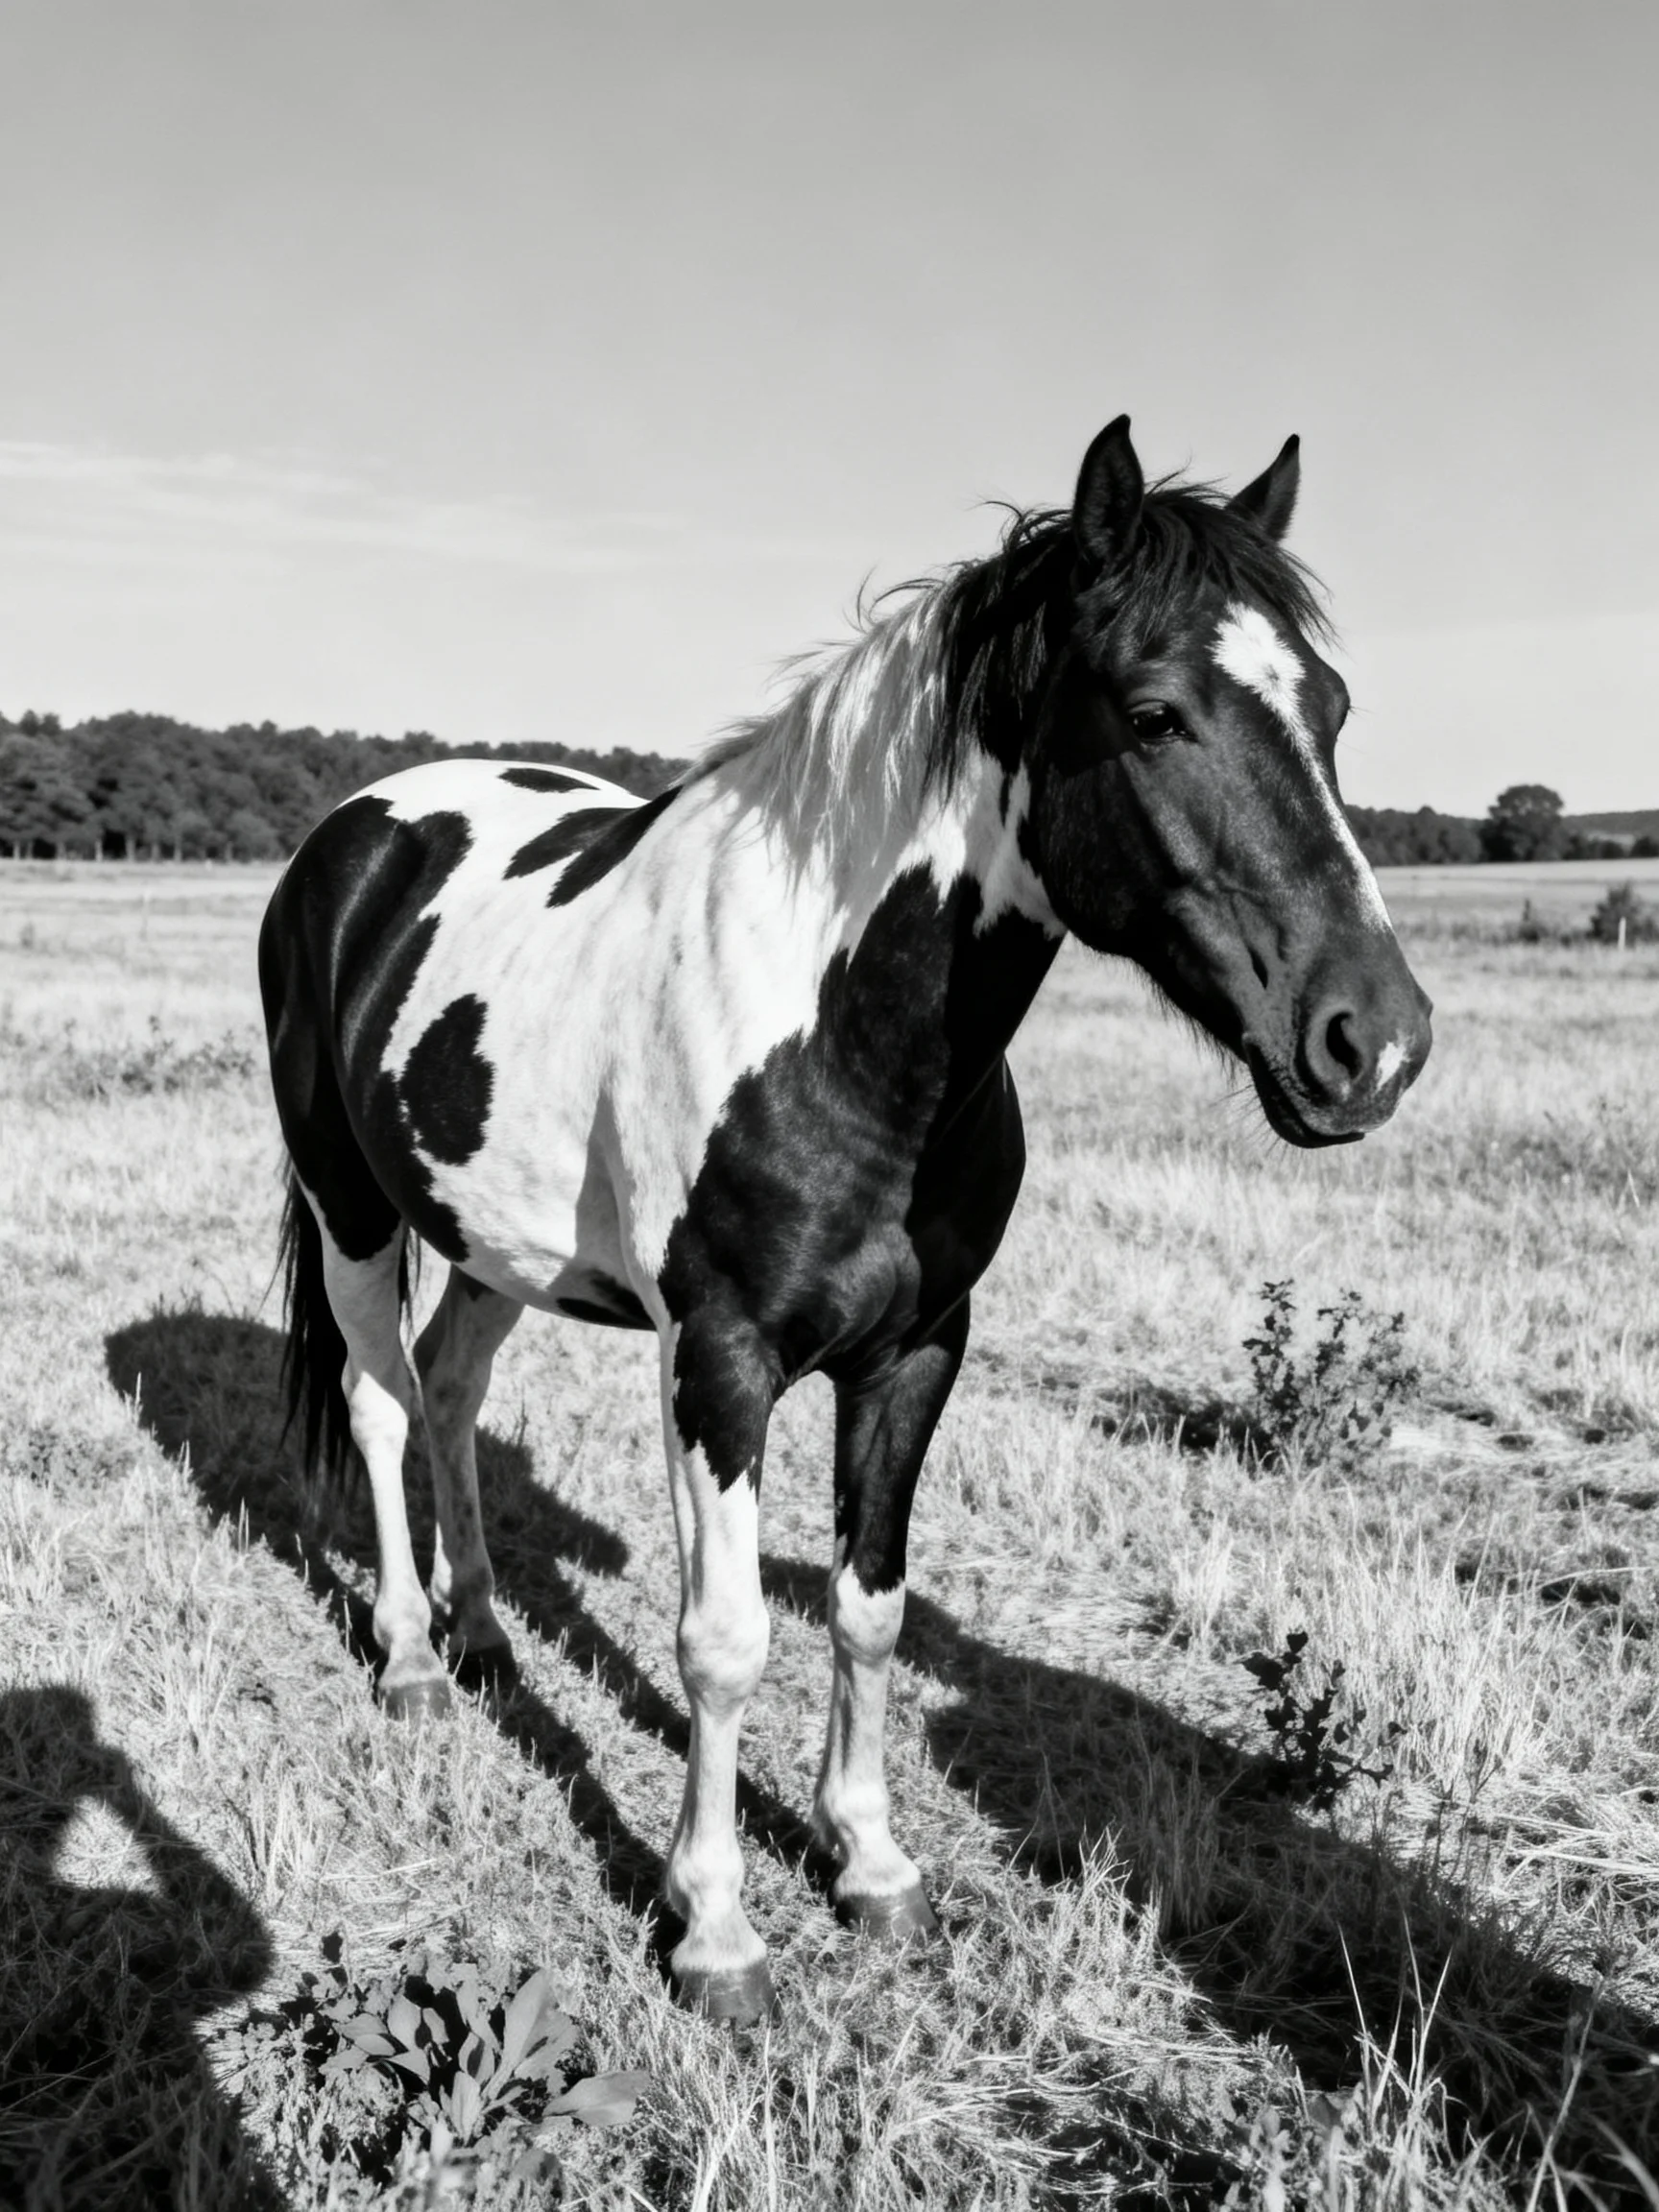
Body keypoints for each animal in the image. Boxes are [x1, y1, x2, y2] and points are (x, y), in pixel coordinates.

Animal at [259, 415, 1432, 2022]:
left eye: (1333, 705)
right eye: (1151, 714)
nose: (1374, 1043)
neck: (834, 1026)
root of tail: (353, 833)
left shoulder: (916, 1352)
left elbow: (868, 1609)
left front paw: (868, 1864)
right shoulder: (719, 1363)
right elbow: (725, 1640)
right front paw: (715, 1929)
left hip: (494, 1238)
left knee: (444, 1392)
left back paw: (485, 1637)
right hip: (353, 1207)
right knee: (380, 1406)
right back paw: (410, 1665)